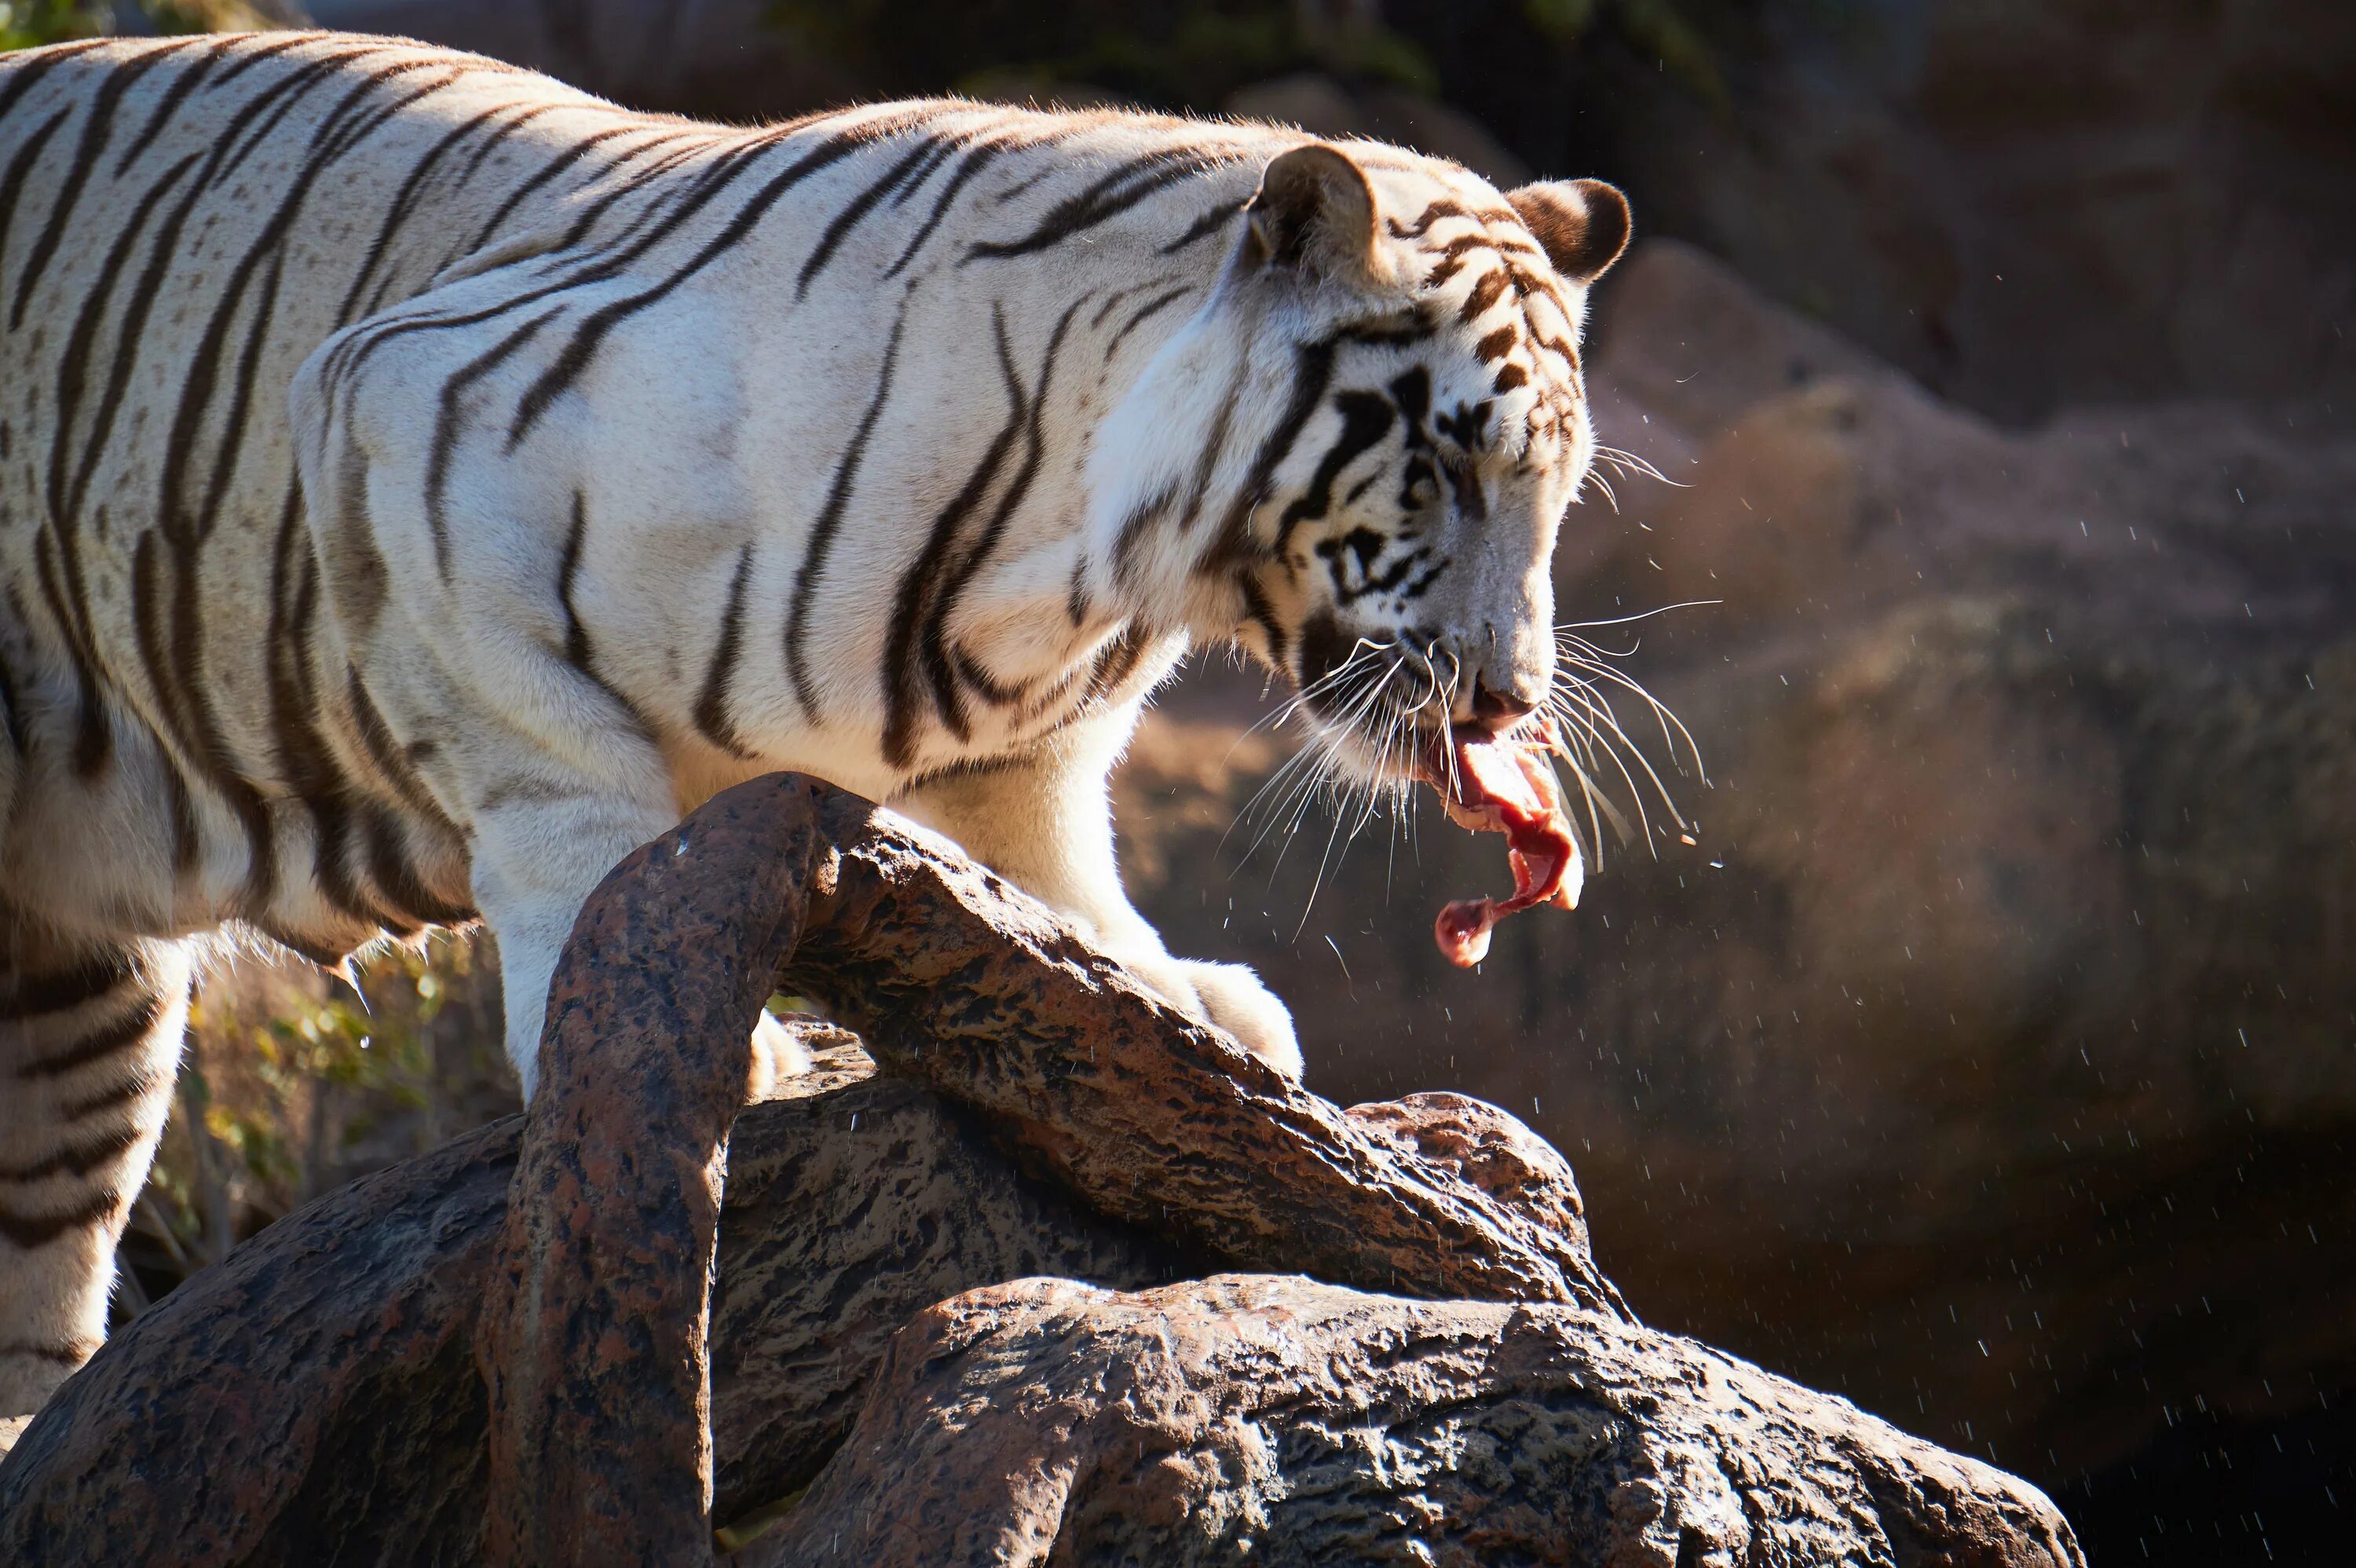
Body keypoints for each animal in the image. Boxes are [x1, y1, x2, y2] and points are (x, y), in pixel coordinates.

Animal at [0, 30, 1621, 1431]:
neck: (1090, 572)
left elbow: (1060, 863)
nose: (1509, 698)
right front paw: (659, 1021)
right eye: (1447, 463)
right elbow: (572, 799)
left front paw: (1182, 999)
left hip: (73, 1016)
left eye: (1557, 483)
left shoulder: (1021, 745)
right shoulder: (405, 417)